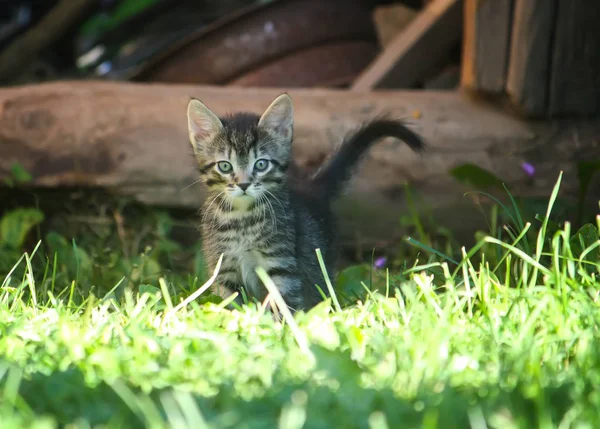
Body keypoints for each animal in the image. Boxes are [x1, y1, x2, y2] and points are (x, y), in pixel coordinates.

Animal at [185, 93, 424, 310]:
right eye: (225, 166)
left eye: (261, 164)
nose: (243, 184)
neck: (242, 217)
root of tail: (311, 190)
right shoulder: (224, 267)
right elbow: (229, 305)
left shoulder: (281, 264)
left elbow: (282, 304)